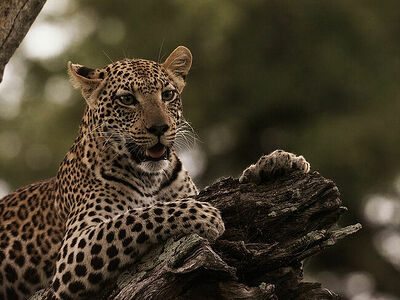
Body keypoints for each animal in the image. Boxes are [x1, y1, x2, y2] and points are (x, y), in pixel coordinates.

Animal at [0, 45, 310, 300]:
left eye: (168, 95)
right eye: (127, 99)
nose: (160, 128)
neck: (151, 177)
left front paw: (278, 162)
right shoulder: (73, 251)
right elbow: (135, 217)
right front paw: (203, 215)